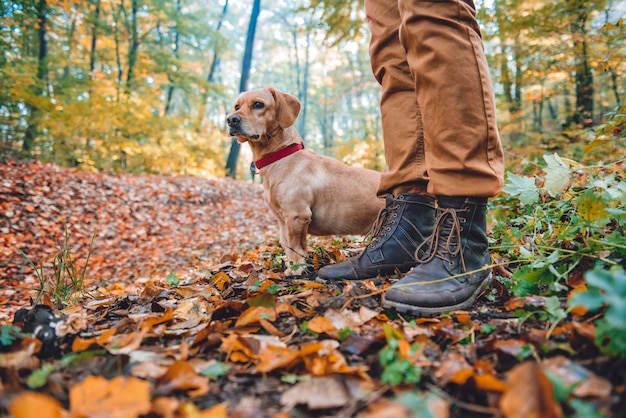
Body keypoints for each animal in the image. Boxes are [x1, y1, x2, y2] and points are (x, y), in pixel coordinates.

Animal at [224, 88, 380, 276]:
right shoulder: (283, 221)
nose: (231, 119)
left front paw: (297, 269)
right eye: (237, 106)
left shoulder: (297, 215)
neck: (282, 157)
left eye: (258, 104)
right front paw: (293, 266)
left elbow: (295, 246)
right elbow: (288, 245)